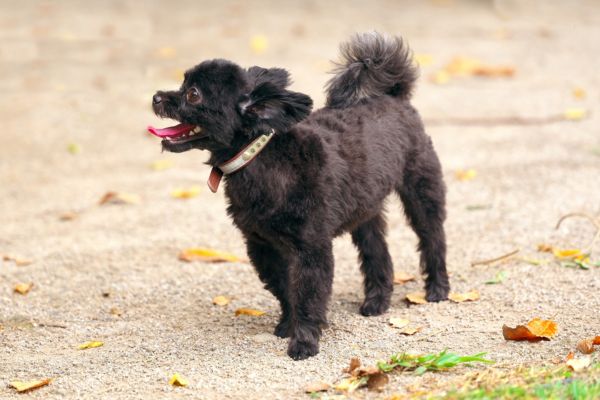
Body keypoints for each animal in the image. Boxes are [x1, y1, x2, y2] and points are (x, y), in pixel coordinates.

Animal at [150, 32, 450, 360]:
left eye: (193, 95)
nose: (156, 97)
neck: (259, 158)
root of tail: (394, 96)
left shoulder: (311, 249)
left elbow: (308, 295)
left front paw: (304, 341)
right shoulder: (262, 246)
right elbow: (285, 291)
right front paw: (287, 325)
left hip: (421, 191)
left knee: (432, 239)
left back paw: (437, 289)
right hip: (364, 211)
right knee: (377, 252)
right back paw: (377, 301)